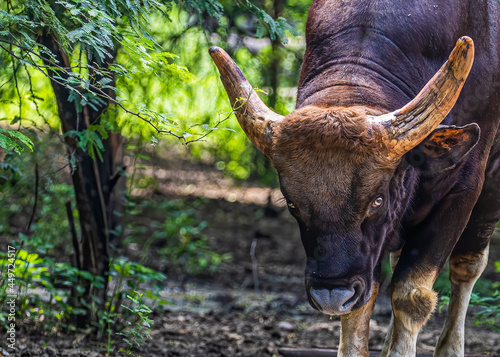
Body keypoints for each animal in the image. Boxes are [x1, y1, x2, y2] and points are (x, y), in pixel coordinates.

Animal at [209, 1, 498, 354]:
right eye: (292, 205)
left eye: (377, 200)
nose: (331, 295)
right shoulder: (365, 258)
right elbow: (365, 301)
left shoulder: (464, 188)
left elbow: (412, 295)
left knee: (466, 267)